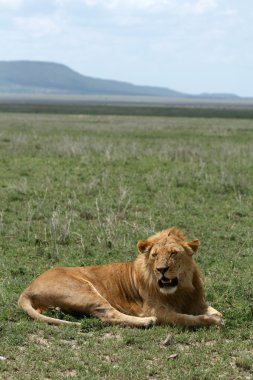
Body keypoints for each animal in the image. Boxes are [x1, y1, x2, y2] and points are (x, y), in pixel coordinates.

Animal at [17, 227, 223, 328]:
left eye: (173, 253)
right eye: (154, 255)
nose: (161, 269)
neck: (179, 289)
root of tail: (27, 288)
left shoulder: (197, 302)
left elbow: (216, 311)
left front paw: (215, 316)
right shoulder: (155, 309)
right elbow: (185, 318)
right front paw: (211, 321)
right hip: (84, 290)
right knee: (108, 315)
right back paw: (146, 322)